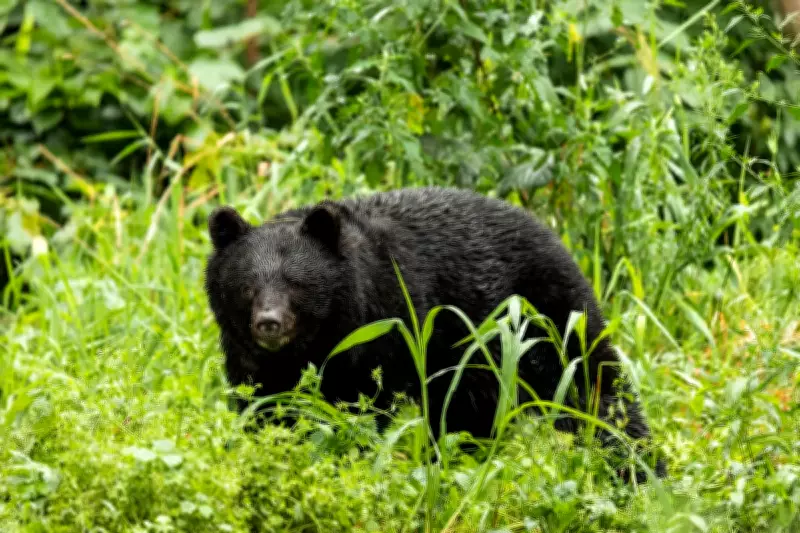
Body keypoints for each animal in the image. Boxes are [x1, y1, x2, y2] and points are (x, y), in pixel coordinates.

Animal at [204, 186, 666, 481]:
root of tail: (556, 236)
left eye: (295, 284)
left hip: (546, 317)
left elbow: (360, 407)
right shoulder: (253, 361)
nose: (269, 323)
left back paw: (640, 472)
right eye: (247, 286)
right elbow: (264, 405)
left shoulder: (385, 331)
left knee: (596, 388)